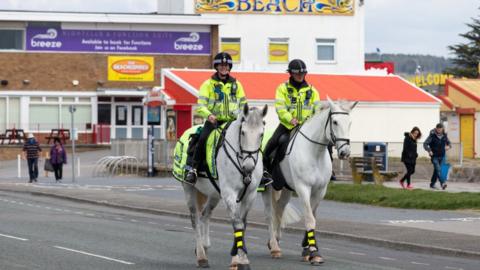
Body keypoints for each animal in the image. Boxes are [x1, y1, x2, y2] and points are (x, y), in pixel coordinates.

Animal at [182, 103, 268, 268]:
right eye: (243, 132)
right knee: (195, 219)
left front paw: (239, 256)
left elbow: (243, 223)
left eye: (261, 134)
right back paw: (201, 256)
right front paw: (241, 259)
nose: (248, 167)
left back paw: (204, 247)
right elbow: (237, 223)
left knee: (205, 215)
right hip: (188, 189)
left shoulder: (250, 194)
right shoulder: (229, 193)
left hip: (214, 195)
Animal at [262, 98, 356, 264]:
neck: (314, 153)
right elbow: (309, 219)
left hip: (285, 189)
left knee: (279, 209)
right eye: (335, 122)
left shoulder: (320, 191)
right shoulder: (303, 188)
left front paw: (307, 249)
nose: (345, 152)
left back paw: (276, 241)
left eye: (349, 122)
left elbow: (312, 217)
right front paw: (313, 252)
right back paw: (274, 246)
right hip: (267, 188)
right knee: (269, 215)